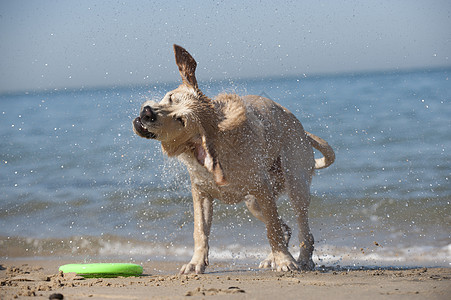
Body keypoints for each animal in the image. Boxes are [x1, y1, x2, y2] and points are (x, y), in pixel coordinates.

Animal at [132, 45, 334, 274]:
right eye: (171, 98)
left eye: (180, 120)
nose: (147, 112)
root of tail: (303, 131)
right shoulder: (201, 193)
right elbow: (200, 231)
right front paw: (195, 263)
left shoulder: (262, 188)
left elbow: (272, 229)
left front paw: (285, 261)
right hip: (254, 202)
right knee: (285, 227)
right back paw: (272, 257)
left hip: (294, 184)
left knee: (300, 229)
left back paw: (302, 260)